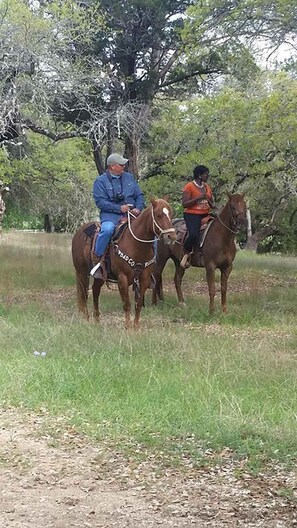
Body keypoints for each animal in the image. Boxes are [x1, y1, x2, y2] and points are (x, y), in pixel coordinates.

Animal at [71, 199, 176, 328]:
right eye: (158, 215)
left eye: (171, 214)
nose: (172, 237)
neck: (136, 245)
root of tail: (78, 232)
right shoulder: (122, 278)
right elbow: (127, 304)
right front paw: (128, 327)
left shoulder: (144, 278)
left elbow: (138, 304)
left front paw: (136, 327)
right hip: (82, 272)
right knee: (84, 294)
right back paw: (86, 319)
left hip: (100, 276)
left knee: (95, 291)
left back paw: (97, 320)